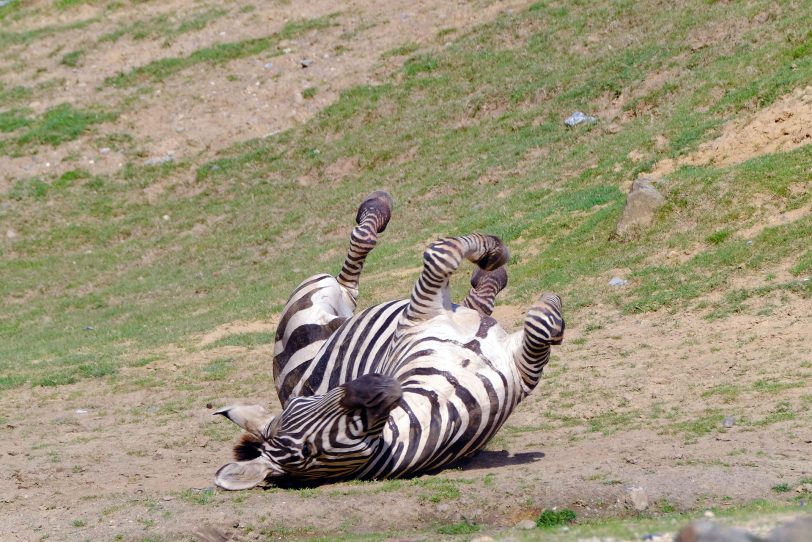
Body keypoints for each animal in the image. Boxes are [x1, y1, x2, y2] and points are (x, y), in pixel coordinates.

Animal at [213, 192, 560, 492]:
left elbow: (539, 318)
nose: (373, 385)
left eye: (304, 402)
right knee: (352, 269)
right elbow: (443, 254)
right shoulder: (422, 319)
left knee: (469, 300)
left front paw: (494, 255)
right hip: (316, 294)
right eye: (308, 452)